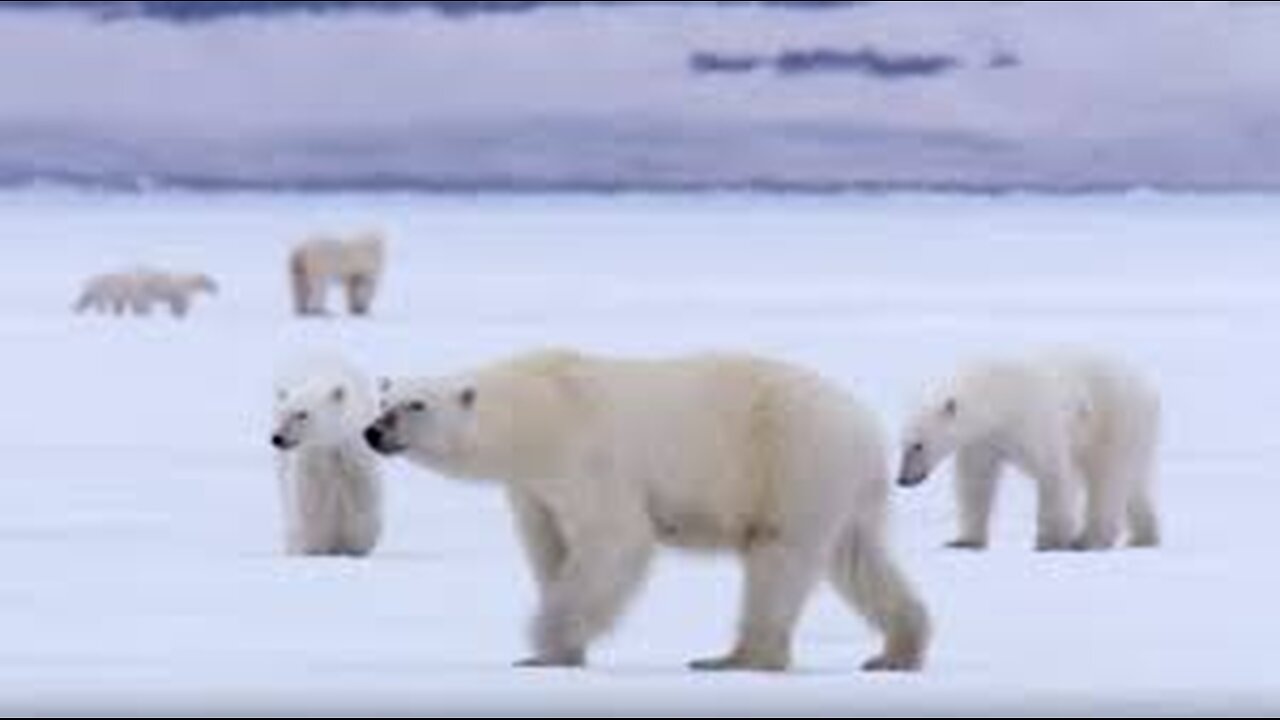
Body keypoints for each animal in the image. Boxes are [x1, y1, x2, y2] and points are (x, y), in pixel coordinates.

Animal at [271, 358, 381, 556]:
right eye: (283, 412)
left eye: (302, 414)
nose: (277, 438)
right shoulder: (310, 462)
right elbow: (311, 504)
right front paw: (314, 546)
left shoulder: (352, 455)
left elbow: (361, 498)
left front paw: (355, 546)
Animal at [366, 351, 926, 671]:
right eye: (384, 399)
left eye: (416, 405)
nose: (373, 432)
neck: (538, 410)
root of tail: (866, 426)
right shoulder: (534, 488)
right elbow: (549, 549)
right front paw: (556, 649)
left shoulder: (586, 456)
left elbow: (613, 538)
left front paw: (550, 643)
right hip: (840, 486)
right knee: (859, 558)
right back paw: (896, 650)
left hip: (794, 460)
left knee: (779, 557)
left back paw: (737, 658)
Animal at [896, 351, 1167, 548]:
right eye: (902, 444)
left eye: (918, 445)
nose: (903, 480)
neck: (998, 397)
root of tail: (1148, 389)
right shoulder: (982, 441)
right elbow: (976, 482)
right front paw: (964, 541)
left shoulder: (1032, 423)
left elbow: (1053, 474)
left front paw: (1050, 540)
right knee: (1132, 482)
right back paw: (1144, 536)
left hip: (1115, 418)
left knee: (1107, 479)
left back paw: (1089, 539)